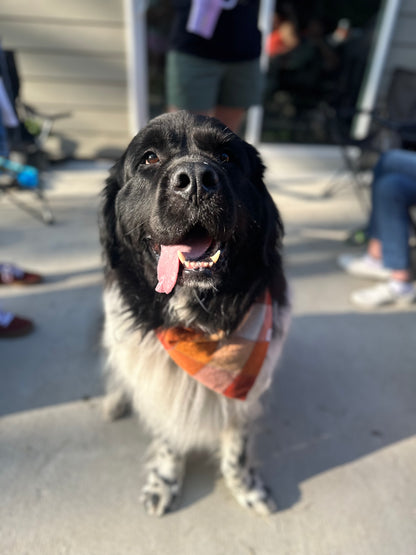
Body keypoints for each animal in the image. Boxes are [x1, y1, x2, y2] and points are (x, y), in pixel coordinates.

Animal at [99, 112, 290, 516]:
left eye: (227, 157)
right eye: (150, 158)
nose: (197, 179)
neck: (200, 321)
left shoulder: (243, 397)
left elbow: (237, 448)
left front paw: (246, 487)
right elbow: (169, 438)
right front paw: (164, 483)